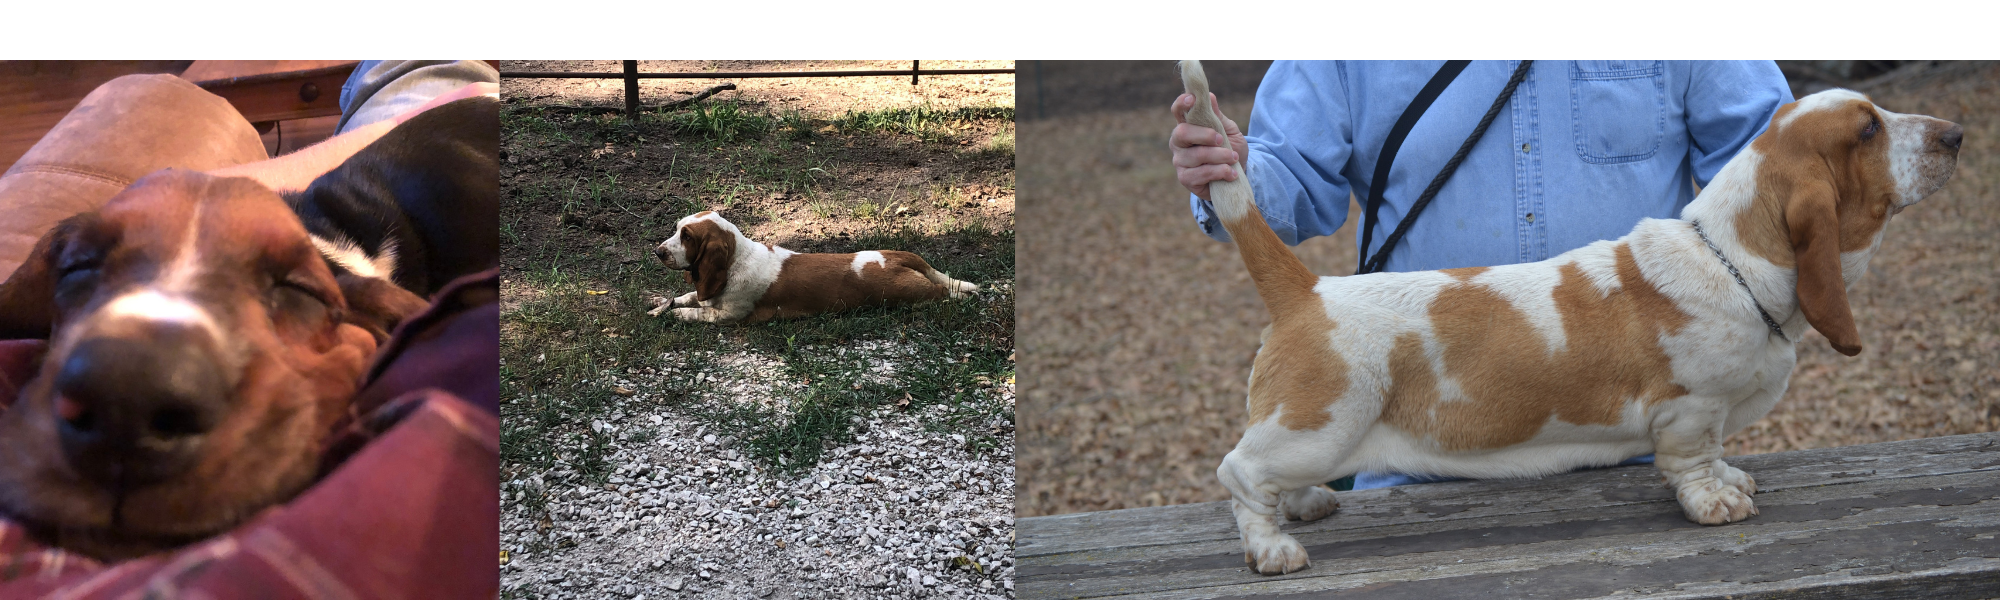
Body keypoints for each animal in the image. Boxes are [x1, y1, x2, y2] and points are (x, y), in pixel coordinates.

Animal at [648, 211, 976, 324]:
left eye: (687, 237)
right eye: (677, 229)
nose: (658, 252)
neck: (735, 262)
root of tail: (900, 256)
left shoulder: (727, 316)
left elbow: (694, 312)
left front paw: (674, 314)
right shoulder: (706, 295)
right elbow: (688, 296)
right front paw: (661, 303)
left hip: (912, 294)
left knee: (942, 291)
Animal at [1176, 63, 1960, 576]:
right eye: (1868, 128)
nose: (1954, 134)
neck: (1731, 255)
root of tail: (1306, 289)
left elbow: (1717, 456)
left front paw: (1732, 480)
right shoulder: (1690, 409)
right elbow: (1692, 461)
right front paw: (1716, 502)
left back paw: (1305, 504)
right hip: (1319, 426)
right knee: (1239, 472)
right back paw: (1273, 547)